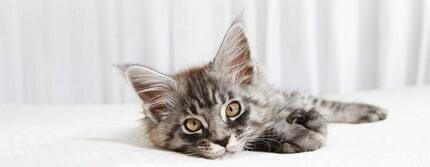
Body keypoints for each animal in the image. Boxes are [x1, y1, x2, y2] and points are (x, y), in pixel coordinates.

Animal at [120, 21, 386, 159]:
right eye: (192, 125)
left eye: (232, 109)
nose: (221, 140)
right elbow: (259, 133)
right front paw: (298, 135)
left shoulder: (283, 95)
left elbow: (321, 103)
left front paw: (365, 110)